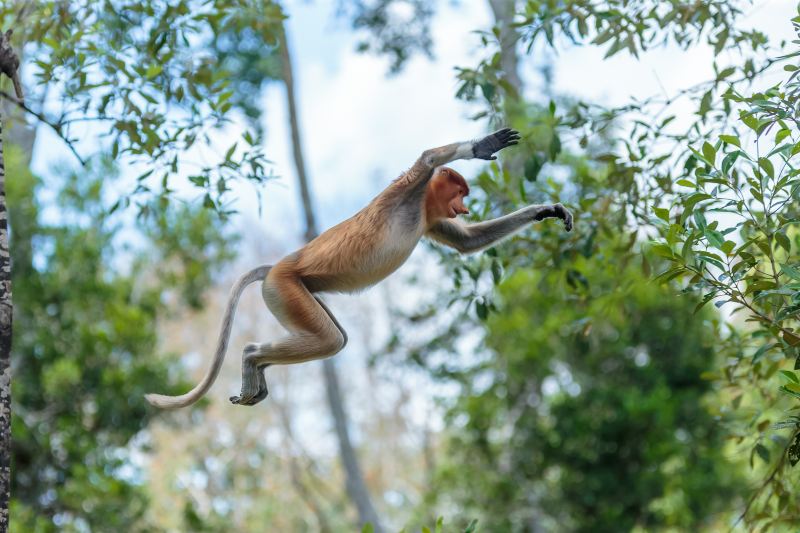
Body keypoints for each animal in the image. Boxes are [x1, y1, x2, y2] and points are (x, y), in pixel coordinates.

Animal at [147, 128, 572, 408]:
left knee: (336, 337)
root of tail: (278, 266)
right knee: (330, 340)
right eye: (460, 192)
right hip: (286, 288)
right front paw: (482, 145)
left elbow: (468, 243)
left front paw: (546, 210)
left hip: (297, 292)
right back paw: (252, 357)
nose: (463, 208)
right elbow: (428, 159)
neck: (421, 205)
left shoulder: (430, 218)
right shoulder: (404, 192)